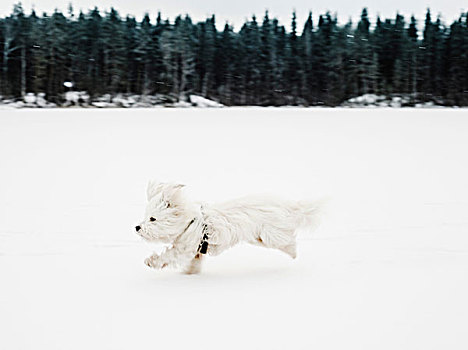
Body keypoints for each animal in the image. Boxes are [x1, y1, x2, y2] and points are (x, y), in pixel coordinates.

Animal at [135, 182, 324, 274]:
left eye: (152, 219)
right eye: (145, 217)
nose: (137, 227)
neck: (190, 222)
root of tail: (284, 205)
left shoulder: (184, 248)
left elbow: (170, 254)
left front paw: (152, 261)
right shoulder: (196, 250)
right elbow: (195, 261)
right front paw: (190, 272)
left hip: (270, 233)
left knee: (288, 240)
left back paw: (293, 252)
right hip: (259, 237)